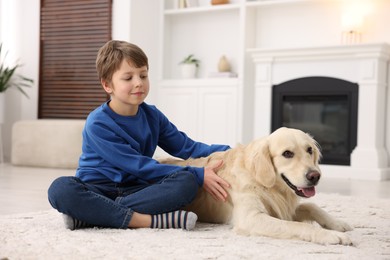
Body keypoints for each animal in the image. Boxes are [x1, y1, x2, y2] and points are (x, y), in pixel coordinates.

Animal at [158, 127, 354, 245]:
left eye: (309, 150)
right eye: (287, 154)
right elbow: (300, 226)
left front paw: (338, 224)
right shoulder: (251, 218)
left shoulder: (284, 208)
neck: (268, 185)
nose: (315, 176)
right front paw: (331, 235)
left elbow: (311, 206)